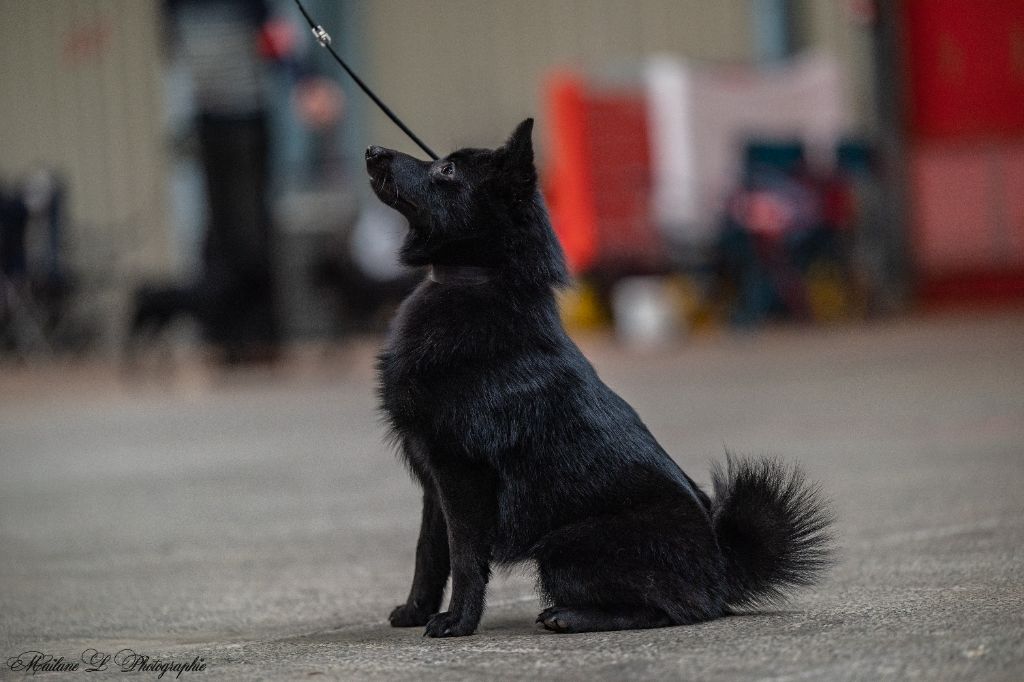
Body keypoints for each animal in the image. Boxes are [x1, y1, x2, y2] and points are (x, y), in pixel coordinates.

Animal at [368, 119, 831, 634]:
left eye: (446, 170)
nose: (372, 151)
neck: (475, 281)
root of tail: (723, 566)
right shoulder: (434, 480)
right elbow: (430, 553)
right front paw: (415, 611)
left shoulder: (461, 473)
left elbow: (465, 555)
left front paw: (457, 622)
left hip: (563, 547)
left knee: (672, 609)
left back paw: (568, 616)